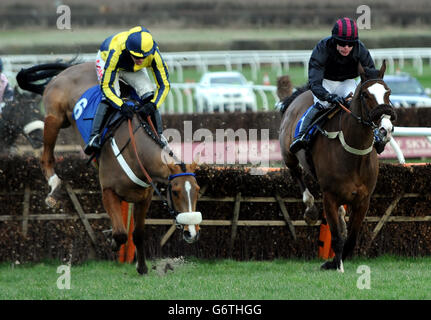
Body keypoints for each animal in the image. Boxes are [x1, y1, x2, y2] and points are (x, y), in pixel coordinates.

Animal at [17, 62, 203, 276]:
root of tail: (68, 69)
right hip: (54, 118)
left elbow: (138, 233)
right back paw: (53, 189)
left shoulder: (144, 197)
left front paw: (142, 267)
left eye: (197, 190)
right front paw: (112, 240)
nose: (192, 233)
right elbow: (121, 233)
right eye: (176, 191)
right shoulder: (108, 192)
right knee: (46, 157)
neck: (134, 152)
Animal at [280, 61, 398, 272]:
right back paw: (310, 209)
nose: (385, 129)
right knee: (297, 173)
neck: (354, 153)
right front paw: (336, 265)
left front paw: (336, 260)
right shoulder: (330, 197)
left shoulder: (363, 200)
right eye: (365, 94)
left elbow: (351, 239)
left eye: (388, 92)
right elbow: (335, 236)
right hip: (289, 155)